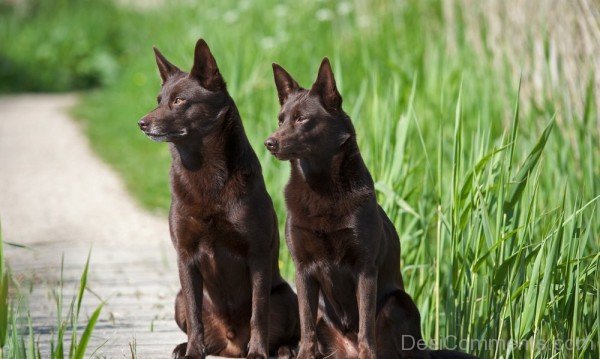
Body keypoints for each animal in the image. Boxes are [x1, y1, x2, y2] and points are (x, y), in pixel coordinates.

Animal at [139, 39, 300, 359]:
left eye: (179, 101)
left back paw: (283, 349)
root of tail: (230, 345)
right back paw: (184, 346)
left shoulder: (257, 255)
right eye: (159, 100)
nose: (142, 123)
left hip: (287, 297)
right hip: (177, 298)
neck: (204, 173)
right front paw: (193, 351)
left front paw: (258, 353)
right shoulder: (186, 257)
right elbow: (195, 312)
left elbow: (258, 313)